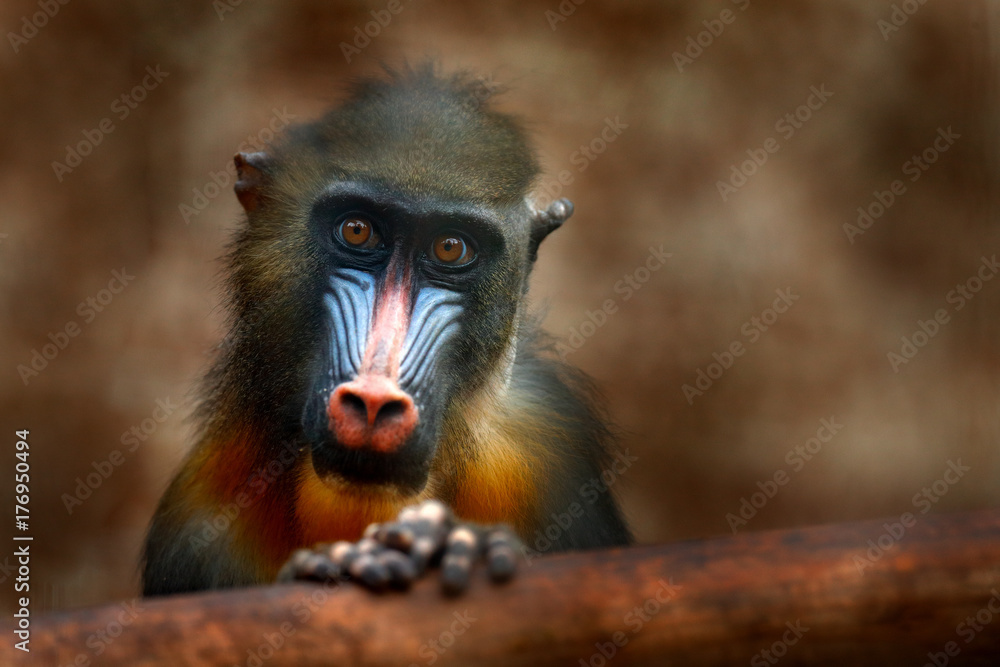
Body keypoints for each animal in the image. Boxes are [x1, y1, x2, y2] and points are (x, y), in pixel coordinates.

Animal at [142, 64, 632, 597]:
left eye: (450, 247)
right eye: (357, 230)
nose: (374, 402)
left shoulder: (549, 456)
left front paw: (454, 542)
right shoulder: (197, 528)